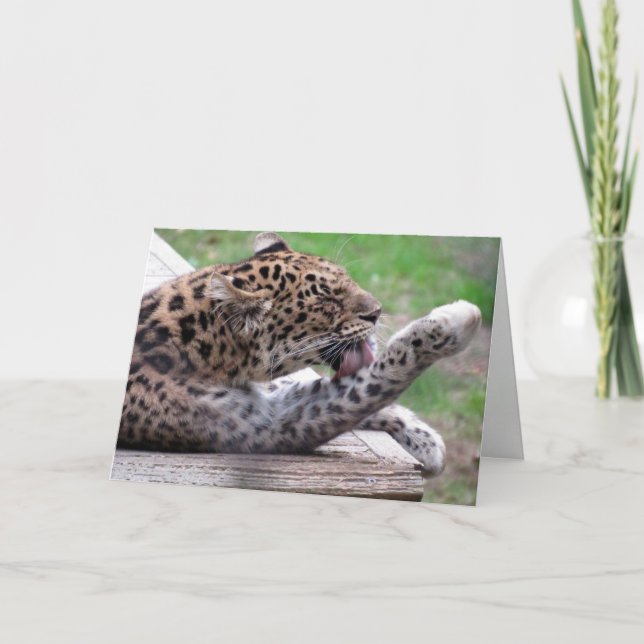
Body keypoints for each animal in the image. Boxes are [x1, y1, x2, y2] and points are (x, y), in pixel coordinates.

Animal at [118, 232, 481, 476]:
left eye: (349, 278)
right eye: (326, 300)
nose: (377, 311)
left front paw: (421, 436)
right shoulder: (271, 425)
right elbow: (373, 382)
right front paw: (454, 323)